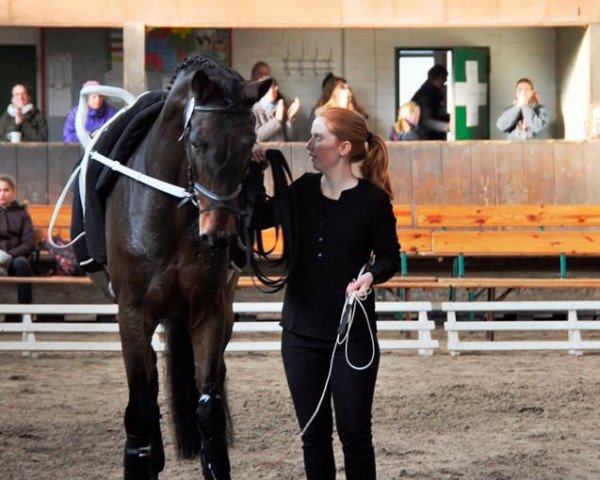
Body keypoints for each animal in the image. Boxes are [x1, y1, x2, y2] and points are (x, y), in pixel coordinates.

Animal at [105, 54, 270, 478]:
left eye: (250, 145)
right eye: (197, 142)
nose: (219, 235)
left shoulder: (208, 312)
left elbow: (208, 408)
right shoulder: (132, 314)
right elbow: (139, 408)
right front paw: (142, 458)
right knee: (146, 390)